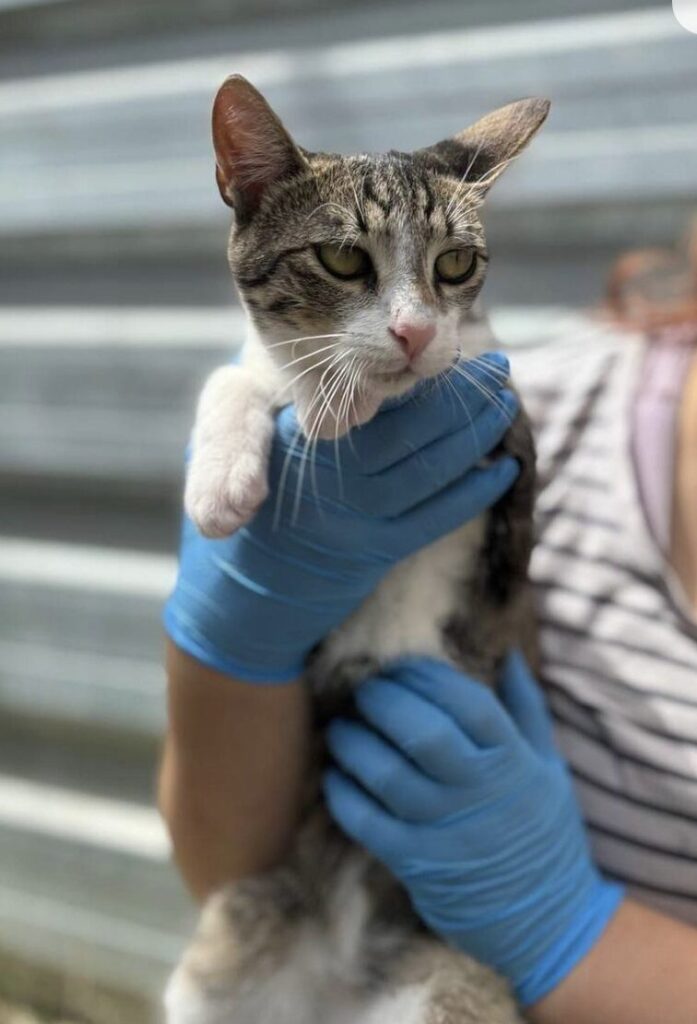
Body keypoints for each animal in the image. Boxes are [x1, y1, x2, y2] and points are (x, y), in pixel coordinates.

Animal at [165, 74, 544, 1024]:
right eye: (341, 261)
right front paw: (223, 478)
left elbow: (452, 377)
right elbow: (239, 374)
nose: (411, 332)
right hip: (221, 957)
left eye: (454, 265)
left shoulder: (506, 448)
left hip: (453, 987)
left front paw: (345, 402)